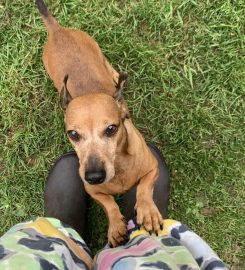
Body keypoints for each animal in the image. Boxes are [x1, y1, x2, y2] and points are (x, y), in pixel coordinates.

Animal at [36, 0, 163, 247]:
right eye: (73, 134)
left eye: (112, 129)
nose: (94, 177)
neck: (119, 165)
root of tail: (57, 31)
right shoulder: (93, 191)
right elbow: (109, 204)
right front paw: (115, 226)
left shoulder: (154, 167)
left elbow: (144, 188)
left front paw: (148, 212)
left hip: (101, 55)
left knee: (113, 73)